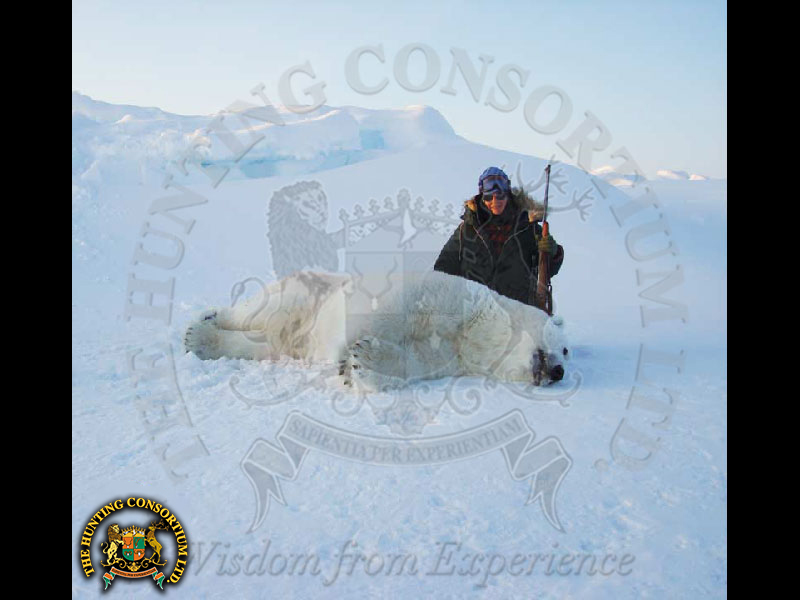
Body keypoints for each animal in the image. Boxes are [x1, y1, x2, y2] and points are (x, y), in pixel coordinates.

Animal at [184, 269, 569, 393]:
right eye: (566, 348)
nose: (559, 371)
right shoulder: (447, 295)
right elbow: (388, 308)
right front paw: (345, 354)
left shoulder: (453, 354)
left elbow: (416, 360)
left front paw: (359, 364)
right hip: (303, 292)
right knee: (260, 311)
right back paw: (202, 322)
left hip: (290, 338)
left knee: (266, 343)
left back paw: (204, 339)